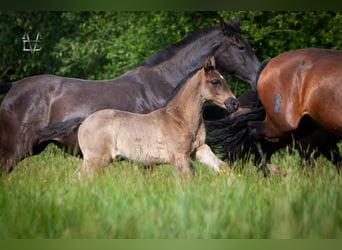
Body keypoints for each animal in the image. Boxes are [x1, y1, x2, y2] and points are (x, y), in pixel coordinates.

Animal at [75, 57, 238, 178]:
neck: (180, 119)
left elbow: (222, 166)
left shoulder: (198, 150)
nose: (234, 103)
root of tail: (84, 123)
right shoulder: (179, 157)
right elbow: (187, 179)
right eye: (215, 82)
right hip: (96, 159)